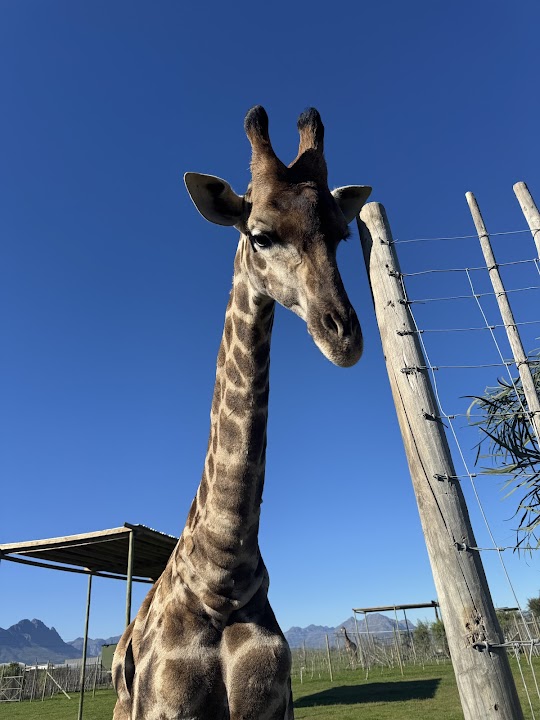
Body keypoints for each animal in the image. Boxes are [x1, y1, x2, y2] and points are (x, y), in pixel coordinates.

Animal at [112, 106, 371, 720]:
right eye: (260, 235)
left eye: (341, 234)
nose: (345, 337)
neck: (224, 576)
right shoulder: (166, 707)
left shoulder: (271, 705)